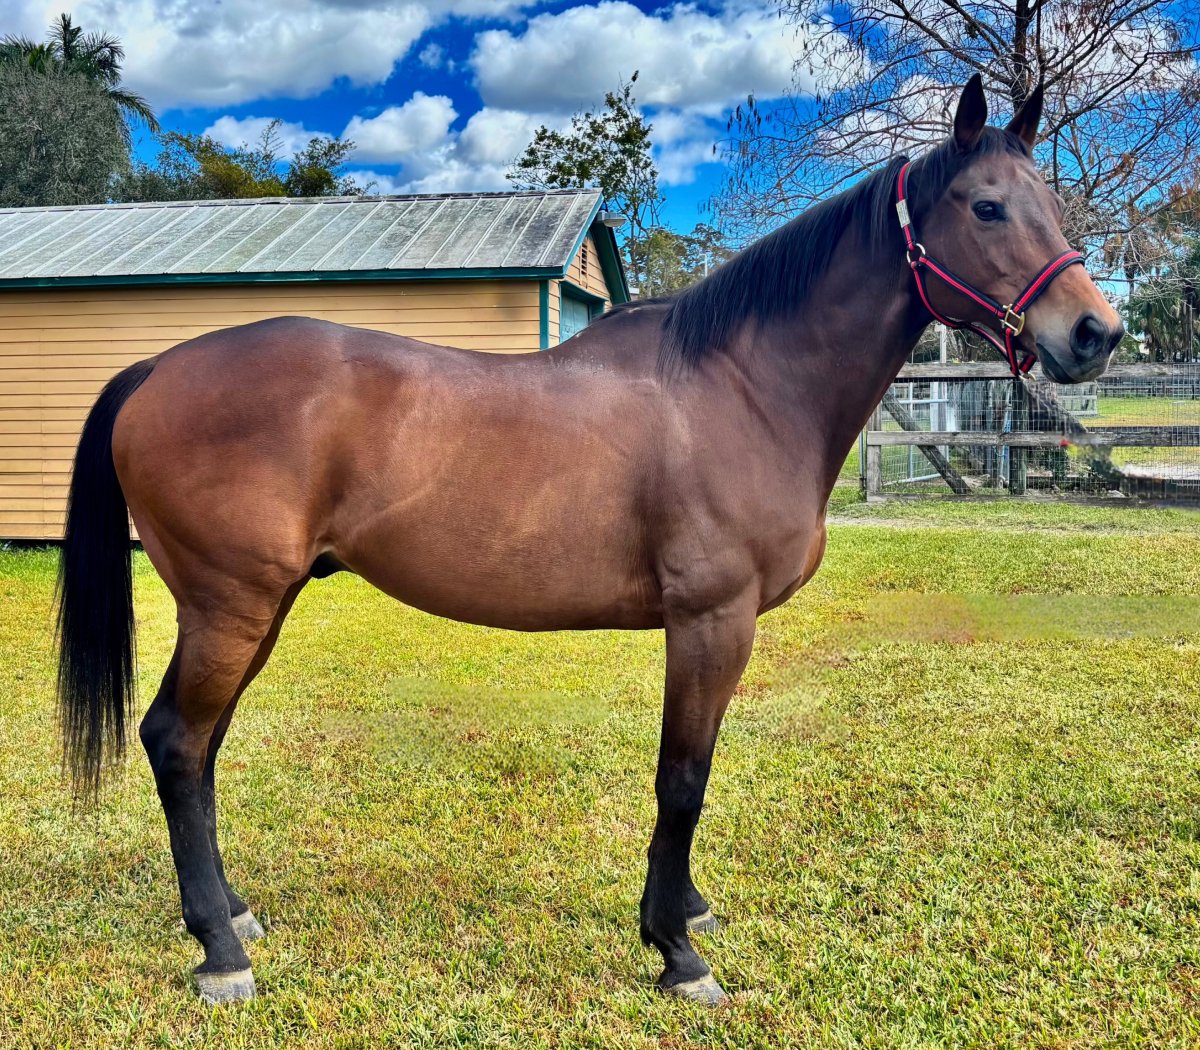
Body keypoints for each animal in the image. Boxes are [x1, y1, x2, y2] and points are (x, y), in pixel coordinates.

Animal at [55, 76, 1121, 1006]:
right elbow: (682, 779)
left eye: (1050, 202)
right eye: (987, 207)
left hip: (256, 607)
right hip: (230, 605)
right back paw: (221, 953)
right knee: (176, 742)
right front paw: (677, 952)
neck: (744, 387)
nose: (1094, 334)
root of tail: (155, 370)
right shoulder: (710, 622)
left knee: (200, 748)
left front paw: (686, 910)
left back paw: (232, 914)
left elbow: (693, 775)